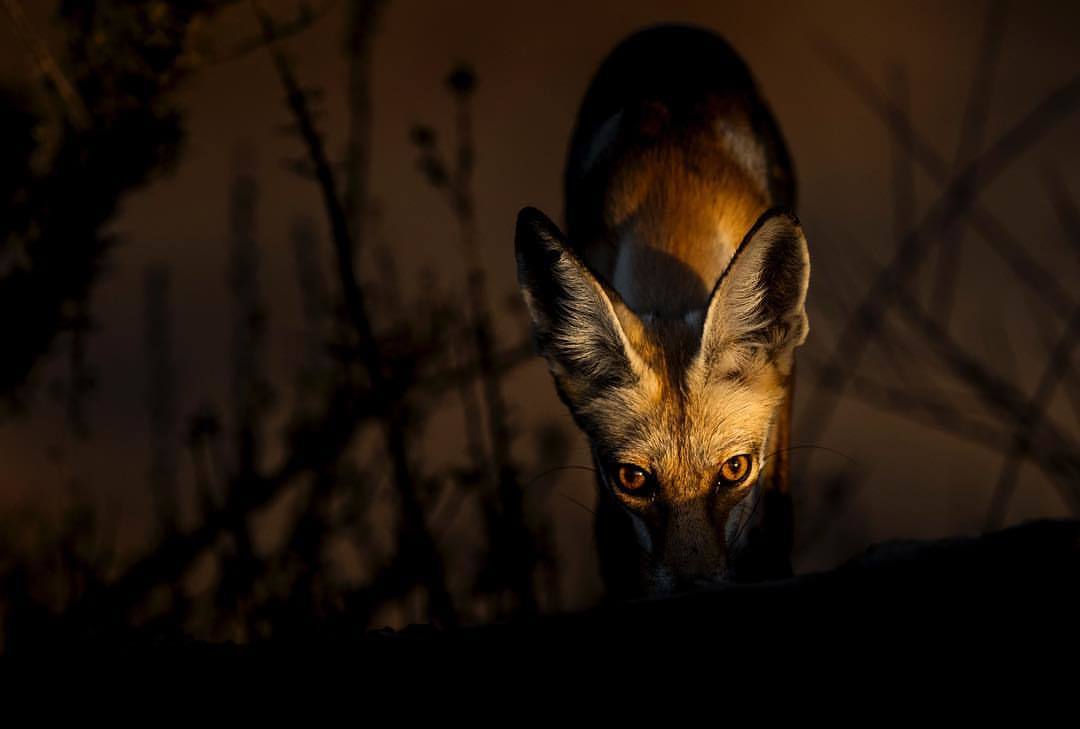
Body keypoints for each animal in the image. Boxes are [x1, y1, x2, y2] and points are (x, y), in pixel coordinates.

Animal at [516, 27, 812, 600]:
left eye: (735, 470)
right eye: (634, 479)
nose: (693, 587)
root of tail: (671, 31)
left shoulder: (780, 405)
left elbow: (773, 525)